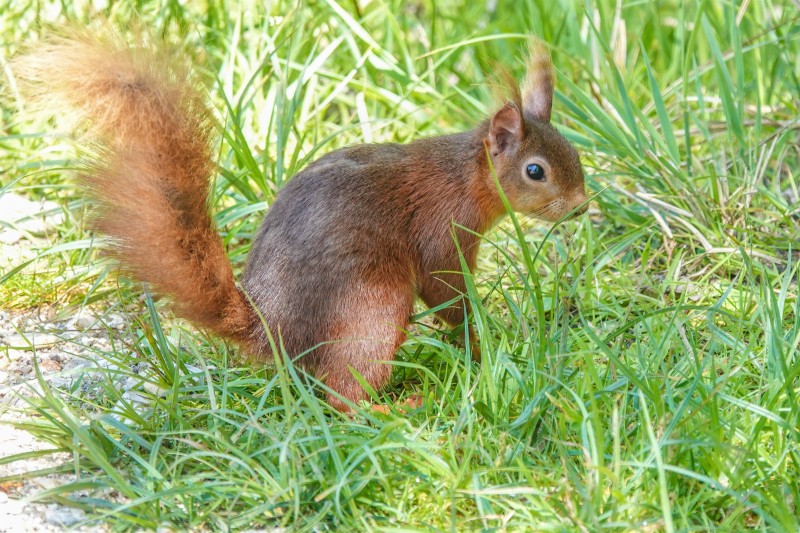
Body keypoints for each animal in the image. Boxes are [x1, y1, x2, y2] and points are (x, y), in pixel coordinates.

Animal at [14, 30, 587, 411]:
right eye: (535, 171)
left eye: (575, 152)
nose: (581, 206)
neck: (465, 176)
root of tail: (270, 331)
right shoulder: (442, 234)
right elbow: (447, 293)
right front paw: (485, 337)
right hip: (371, 310)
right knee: (341, 398)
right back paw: (399, 409)